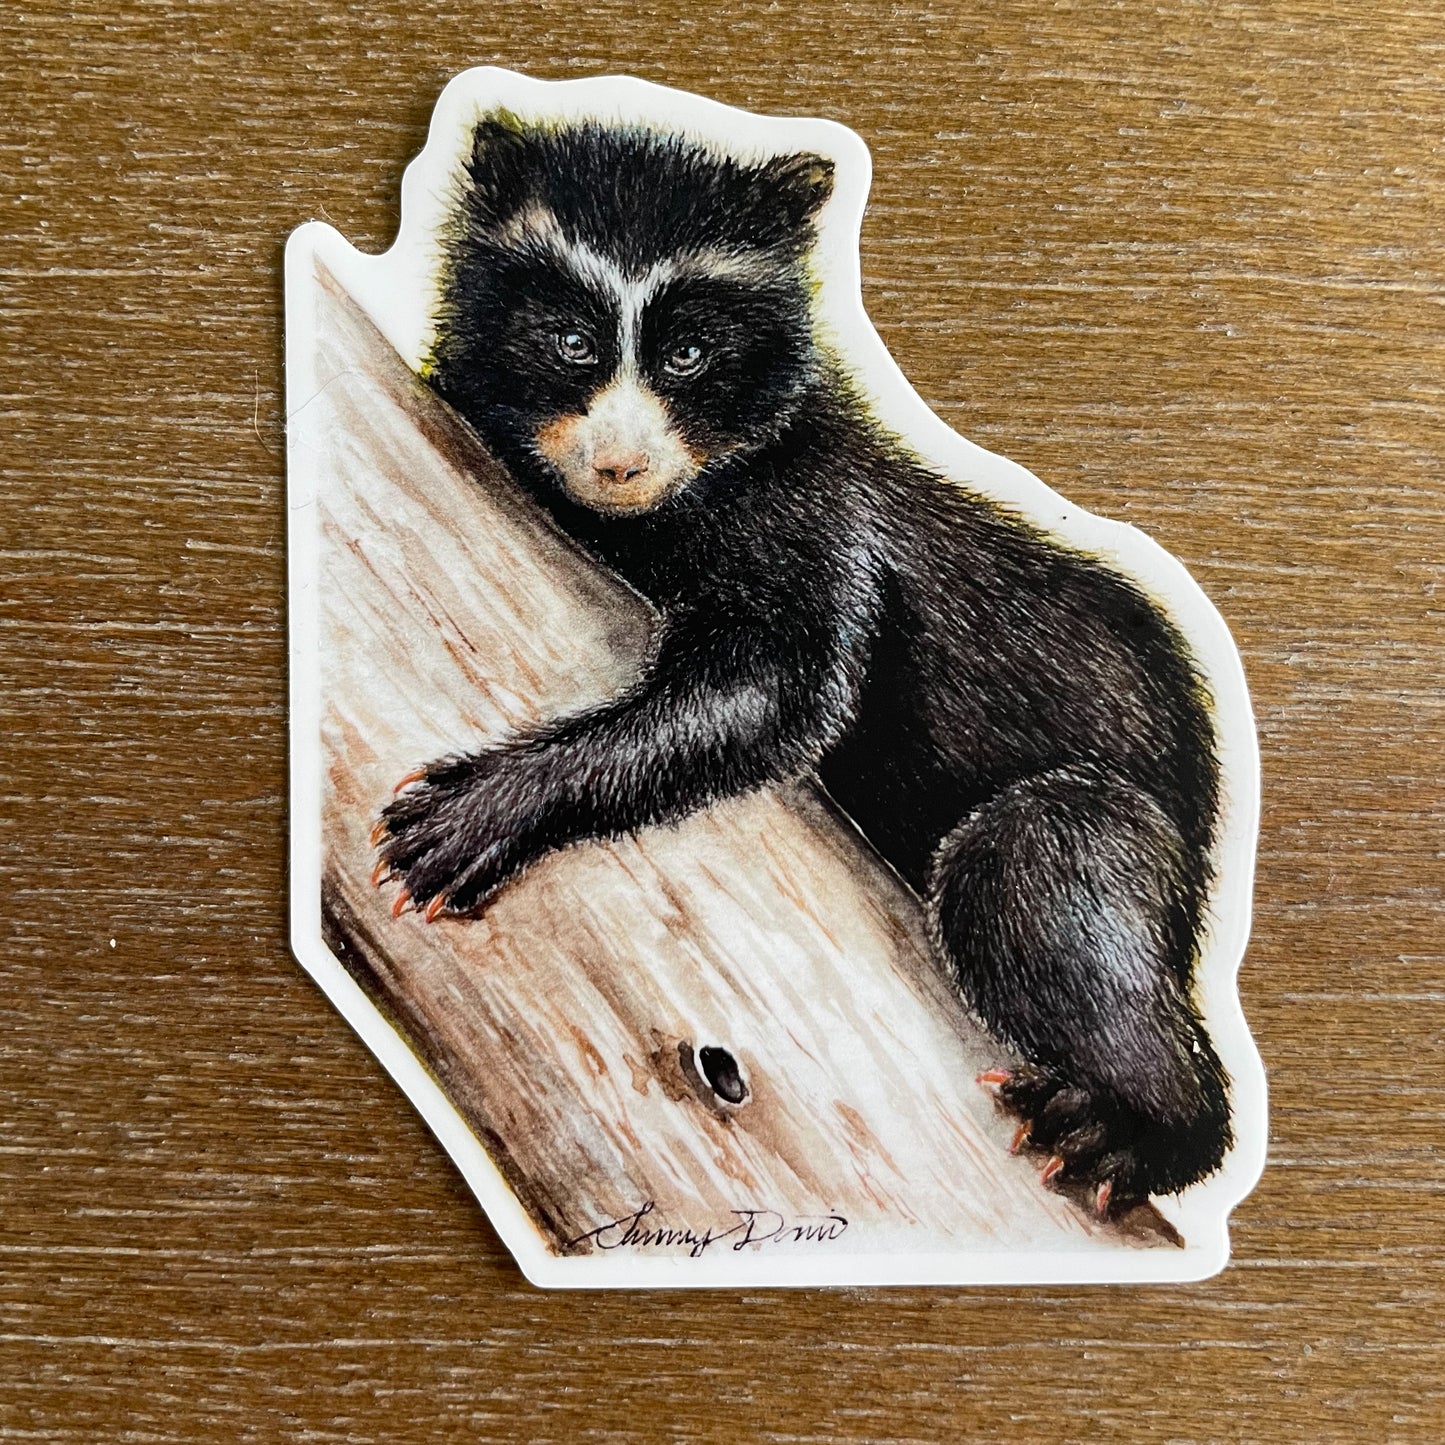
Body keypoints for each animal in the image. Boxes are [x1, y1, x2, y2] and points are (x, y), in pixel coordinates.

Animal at [374, 114, 1232, 1216]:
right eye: (568, 341)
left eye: (690, 353)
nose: (618, 463)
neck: (662, 509)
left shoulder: (815, 519)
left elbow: (775, 686)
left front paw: (472, 815)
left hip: (1113, 829)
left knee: (1043, 868)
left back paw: (1120, 1131)